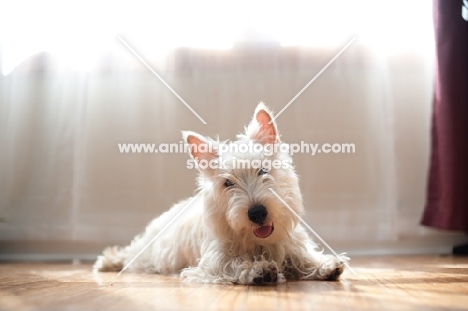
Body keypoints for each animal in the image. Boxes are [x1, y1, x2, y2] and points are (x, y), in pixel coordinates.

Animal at [93, 104, 348, 286]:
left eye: (263, 170)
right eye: (228, 183)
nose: (257, 213)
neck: (256, 241)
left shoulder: (290, 243)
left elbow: (302, 256)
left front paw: (327, 264)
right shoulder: (214, 259)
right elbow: (232, 264)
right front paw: (259, 269)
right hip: (148, 251)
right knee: (129, 254)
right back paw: (107, 260)